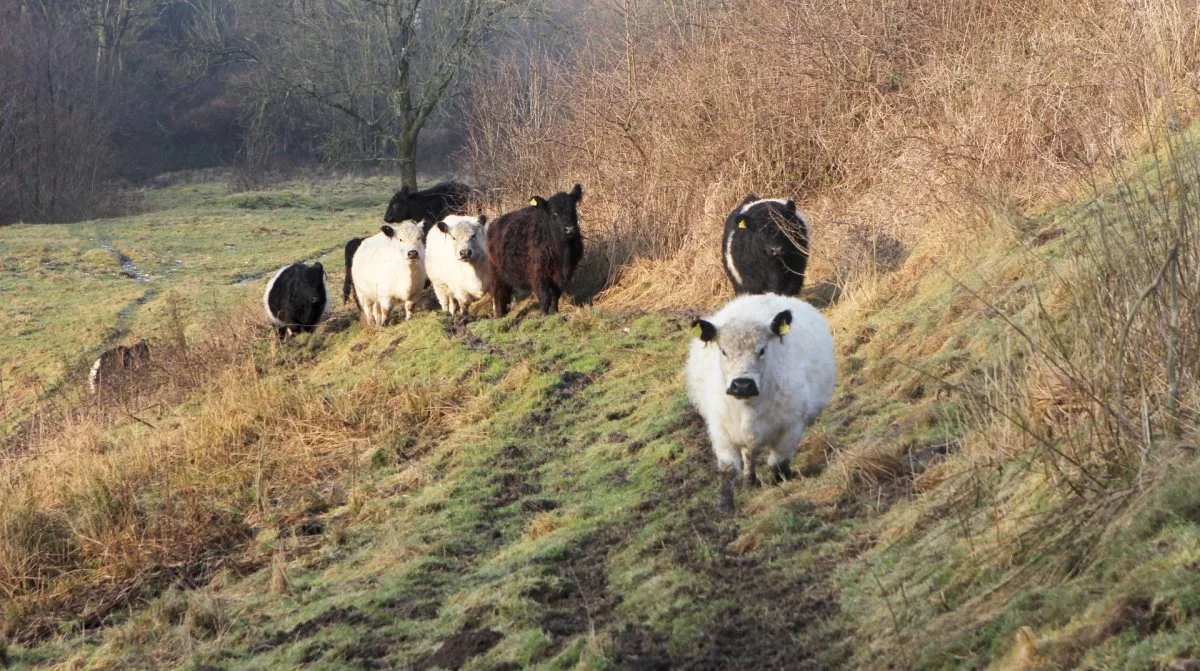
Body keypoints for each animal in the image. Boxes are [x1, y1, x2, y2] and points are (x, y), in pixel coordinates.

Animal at [484, 182, 583, 319]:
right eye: (554, 213)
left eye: (573, 208)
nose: (570, 229)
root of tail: (494, 223)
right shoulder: (538, 273)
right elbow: (544, 296)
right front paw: (544, 316)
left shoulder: (563, 274)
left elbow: (556, 295)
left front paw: (555, 312)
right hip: (495, 271)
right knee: (498, 294)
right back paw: (499, 316)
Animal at [686, 295, 835, 513]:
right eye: (723, 351)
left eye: (762, 350)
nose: (742, 385)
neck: (748, 408)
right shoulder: (720, 432)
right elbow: (728, 469)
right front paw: (725, 505)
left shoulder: (791, 427)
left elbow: (778, 462)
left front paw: (781, 484)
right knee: (748, 454)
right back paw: (749, 482)